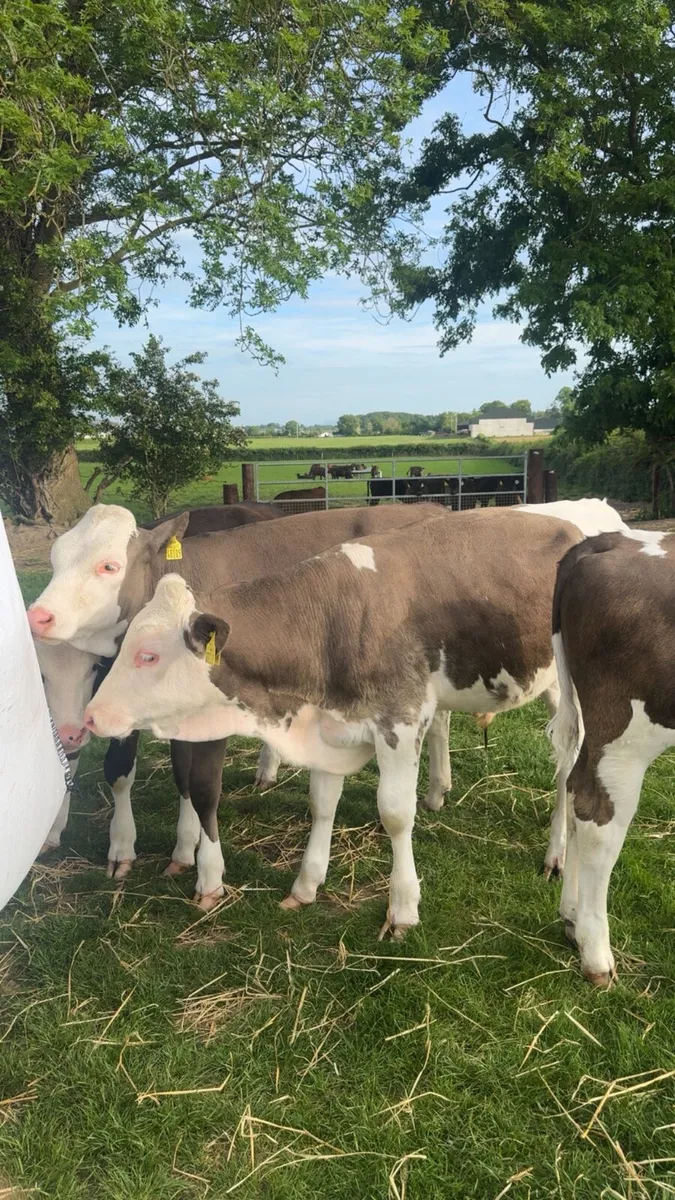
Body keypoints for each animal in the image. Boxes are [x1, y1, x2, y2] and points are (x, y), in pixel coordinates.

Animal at [28, 503, 451, 884]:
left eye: (109, 566)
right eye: (55, 559)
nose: (39, 615)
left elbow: (200, 785)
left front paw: (199, 867)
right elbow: (149, 772)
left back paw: (435, 789)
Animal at [84, 508, 593, 933]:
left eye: (148, 656)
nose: (90, 715)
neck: (331, 619)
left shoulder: (399, 719)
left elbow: (395, 814)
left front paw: (403, 908)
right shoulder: (331, 724)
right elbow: (322, 803)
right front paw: (306, 885)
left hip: (574, 699)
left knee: (569, 772)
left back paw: (557, 854)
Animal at [548, 527, 675, 986]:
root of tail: (605, 541)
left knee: (573, 786)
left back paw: (571, 917)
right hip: (625, 734)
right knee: (597, 814)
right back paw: (596, 954)